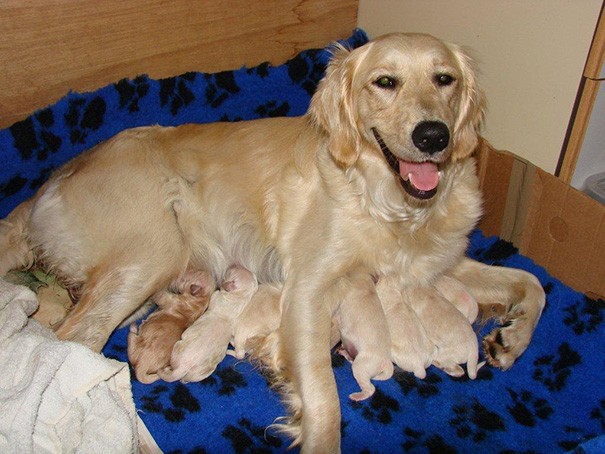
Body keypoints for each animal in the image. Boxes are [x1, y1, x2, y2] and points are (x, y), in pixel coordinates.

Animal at [0, 33, 544, 452]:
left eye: (444, 79)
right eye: (385, 82)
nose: (434, 135)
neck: (396, 207)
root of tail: (48, 184)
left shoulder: (438, 264)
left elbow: (531, 283)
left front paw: (511, 340)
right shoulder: (306, 289)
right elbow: (324, 400)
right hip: (151, 253)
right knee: (71, 346)